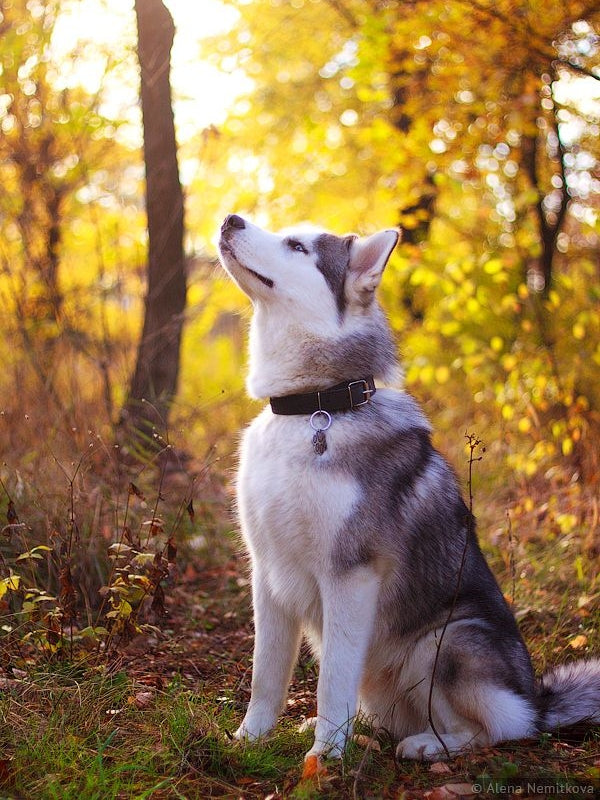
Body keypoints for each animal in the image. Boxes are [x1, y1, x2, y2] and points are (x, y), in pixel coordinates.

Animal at [218, 212, 600, 764]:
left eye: (297, 246)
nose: (231, 219)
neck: (315, 407)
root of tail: (536, 699)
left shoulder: (351, 574)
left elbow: (332, 679)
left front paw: (324, 757)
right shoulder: (267, 573)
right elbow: (265, 674)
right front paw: (250, 738)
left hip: (445, 642)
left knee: (494, 729)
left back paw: (426, 745)